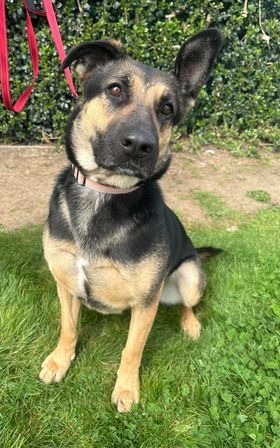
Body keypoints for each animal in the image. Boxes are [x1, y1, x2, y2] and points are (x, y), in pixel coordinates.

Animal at [39, 28, 223, 412]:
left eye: (167, 109)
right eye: (115, 90)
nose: (139, 145)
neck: (104, 194)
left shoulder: (145, 303)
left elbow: (132, 350)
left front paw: (126, 389)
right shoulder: (65, 281)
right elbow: (68, 328)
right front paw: (60, 361)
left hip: (189, 274)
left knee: (188, 304)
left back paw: (191, 325)